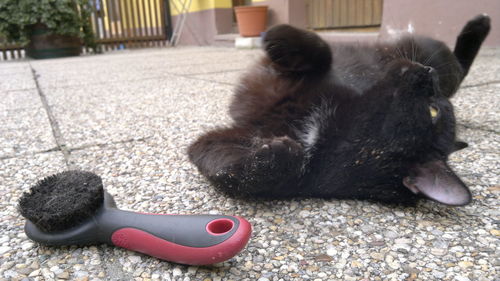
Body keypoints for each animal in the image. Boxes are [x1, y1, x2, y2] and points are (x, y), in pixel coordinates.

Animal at [189, 14, 490, 205]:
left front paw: (277, 157)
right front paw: (278, 37)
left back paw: (479, 25)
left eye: (432, 111)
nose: (428, 73)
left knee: (460, 67)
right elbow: (322, 50)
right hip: (427, 50)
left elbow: (233, 174)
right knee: (458, 68)